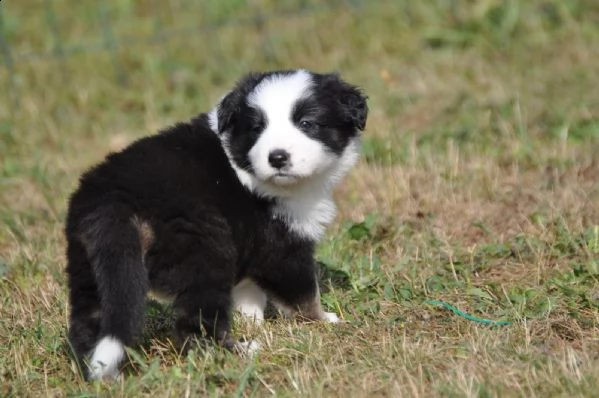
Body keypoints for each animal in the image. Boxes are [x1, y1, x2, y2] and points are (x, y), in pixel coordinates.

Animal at [64, 70, 366, 380]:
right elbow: (304, 292)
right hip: (205, 253)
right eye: (256, 128)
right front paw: (326, 320)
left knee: (89, 321)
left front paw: (253, 322)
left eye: (307, 123)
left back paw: (102, 374)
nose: (277, 158)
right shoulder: (282, 246)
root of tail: (115, 200)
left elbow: (248, 293)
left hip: (91, 264)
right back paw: (238, 350)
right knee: (194, 325)